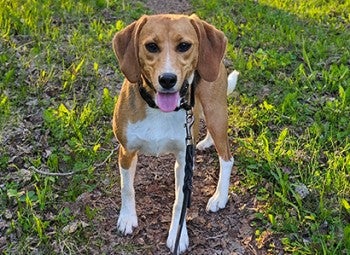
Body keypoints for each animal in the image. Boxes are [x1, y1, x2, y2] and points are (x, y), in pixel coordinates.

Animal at [112, 14, 238, 255]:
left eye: (184, 46)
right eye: (151, 46)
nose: (168, 79)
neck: (158, 107)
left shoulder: (184, 158)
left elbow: (180, 201)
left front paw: (178, 236)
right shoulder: (126, 151)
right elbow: (127, 188)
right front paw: (127, 218)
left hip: (216, 113)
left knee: (227, 158)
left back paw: (220, 196)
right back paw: (205, 142)